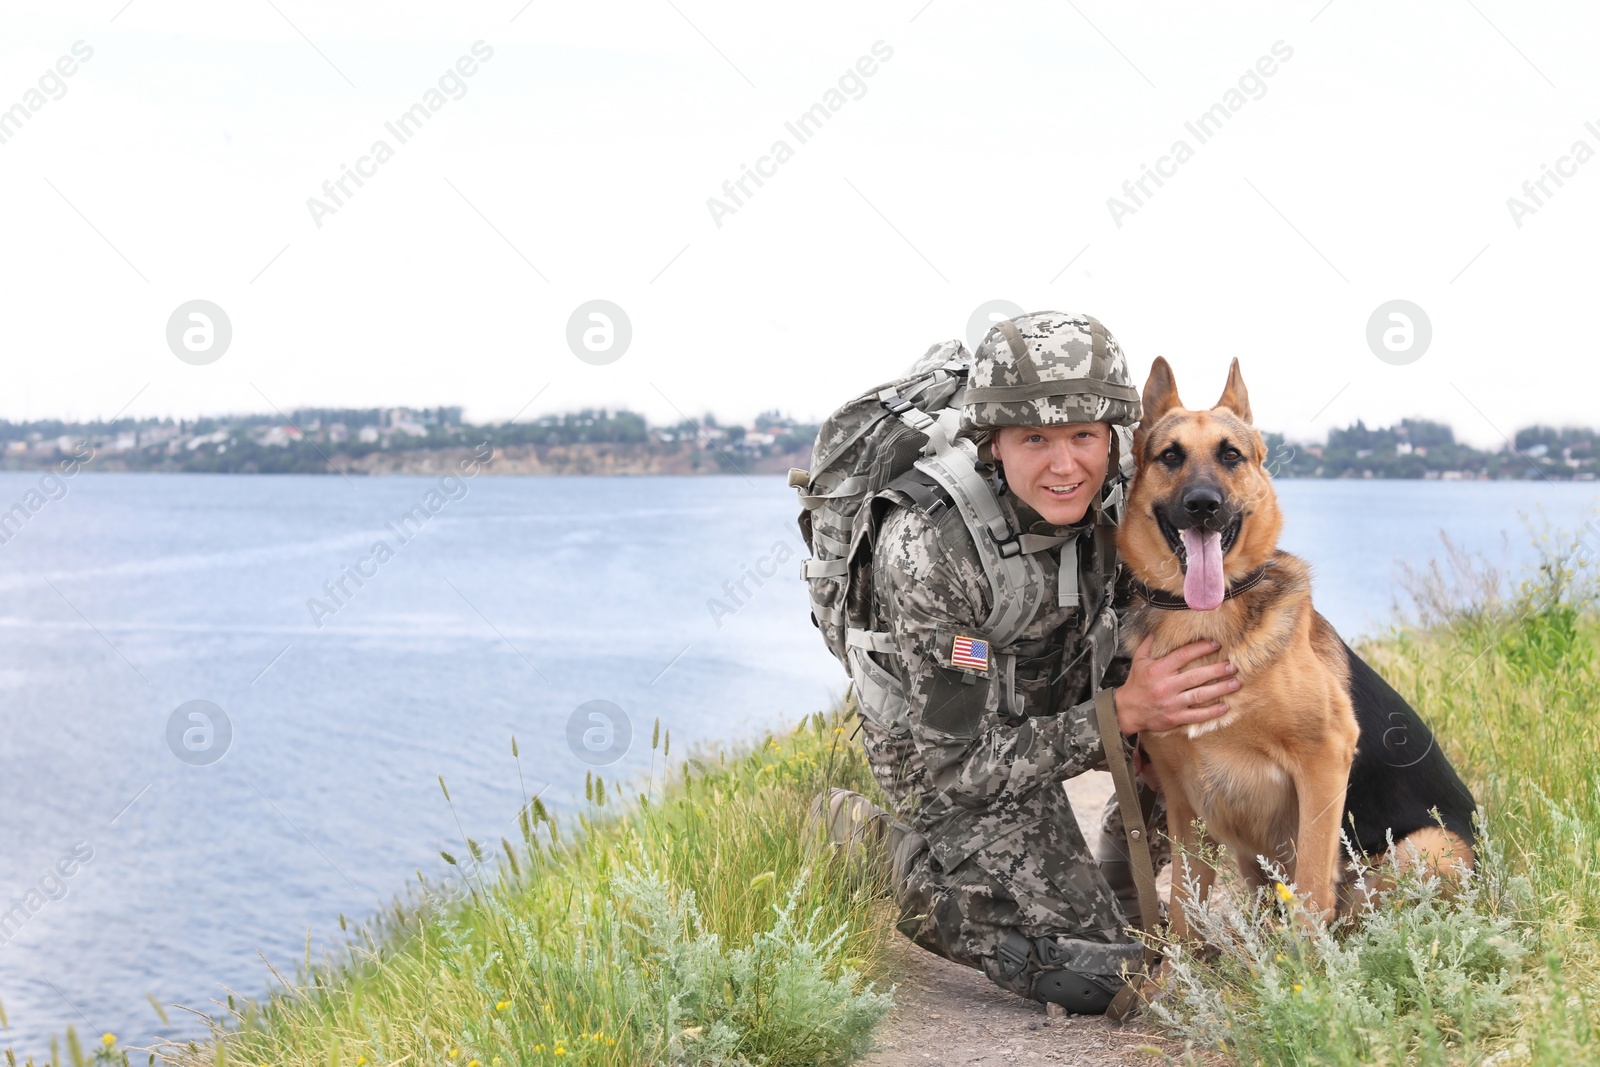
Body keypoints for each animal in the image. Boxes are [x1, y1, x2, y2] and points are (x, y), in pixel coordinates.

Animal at [1113, 358, 1472, 934]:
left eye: (1230, 455)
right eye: (1170, 456)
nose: (1203, 506)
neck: (1205, 621)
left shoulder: (1325, 758)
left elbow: (1309, 892)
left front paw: (1306, 959)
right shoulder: (1183, 801)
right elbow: (1185, 914)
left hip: (1427, 848)